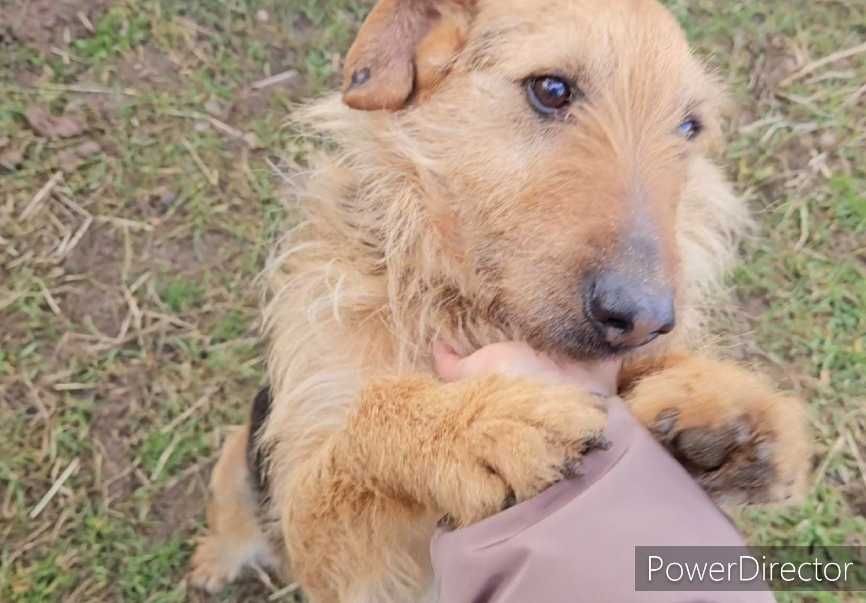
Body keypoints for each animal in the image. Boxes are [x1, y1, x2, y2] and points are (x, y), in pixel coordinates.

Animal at [187, 2, 808, 600]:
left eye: (688, 126)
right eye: (551, 89)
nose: (644, 319)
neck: (466, 307)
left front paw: (727, 408)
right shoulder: (335, 554)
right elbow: (363, 426)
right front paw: (474, 426)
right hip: (239, 457)